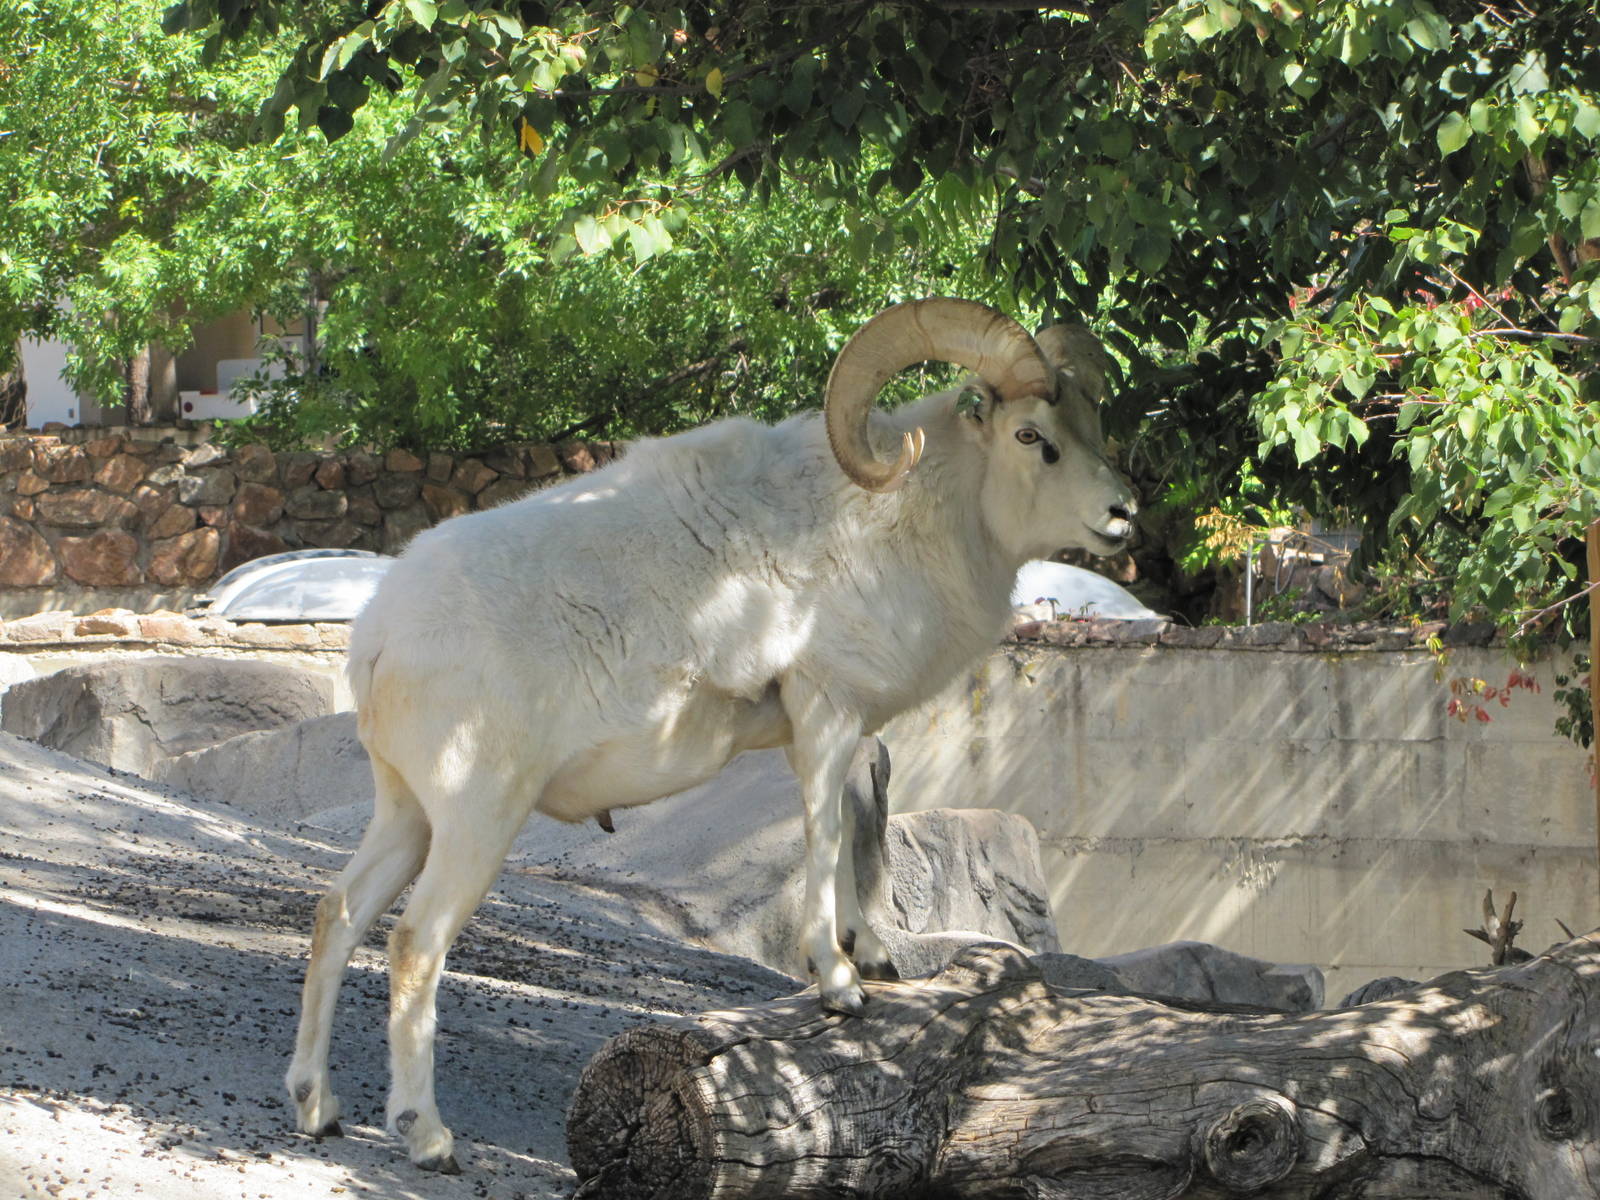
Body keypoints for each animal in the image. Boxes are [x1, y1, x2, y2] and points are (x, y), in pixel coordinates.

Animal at [285, 297, 1137, 1172]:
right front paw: (839, 985)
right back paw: (428, 1136)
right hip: (475, 820)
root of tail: (380, 637)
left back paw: (318, 1109)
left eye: (1090, 423)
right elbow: (825, 836)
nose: (1122, 515)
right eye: (1032, 435)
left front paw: (871, 959)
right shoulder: (823, 712)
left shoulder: (835, 728)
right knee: (414, 944)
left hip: (407, 814)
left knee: (337, 917)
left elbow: (854, 833)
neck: (892, 524)